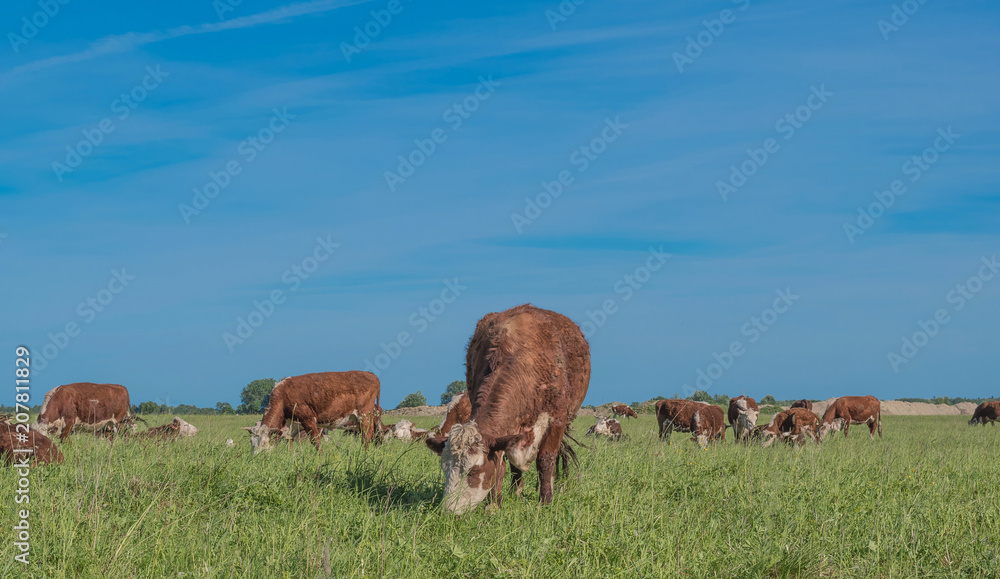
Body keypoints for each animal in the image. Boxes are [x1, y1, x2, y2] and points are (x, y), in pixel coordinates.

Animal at [244, 372, 380, 458]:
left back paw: (365, 454)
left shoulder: (308, 419)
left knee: (366, 436)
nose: (256, 458)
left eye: (263, 443)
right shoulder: (292, 427)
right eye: (251, 443)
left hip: (364, 415)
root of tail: (371, 374)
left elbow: (316, 441)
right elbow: (290, 443)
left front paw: (321, 458)